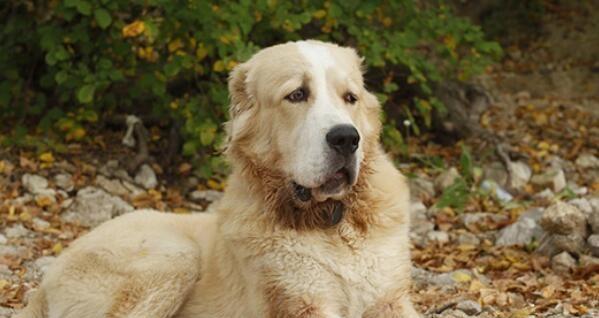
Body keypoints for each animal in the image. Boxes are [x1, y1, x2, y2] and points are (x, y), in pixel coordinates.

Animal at [16, 40, 420, 318]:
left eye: (350, 97)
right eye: (297, 94)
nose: (346, 138)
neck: (333, 223)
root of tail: (46, 282)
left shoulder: (391, 301)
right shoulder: (302, 303)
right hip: (174, 257)